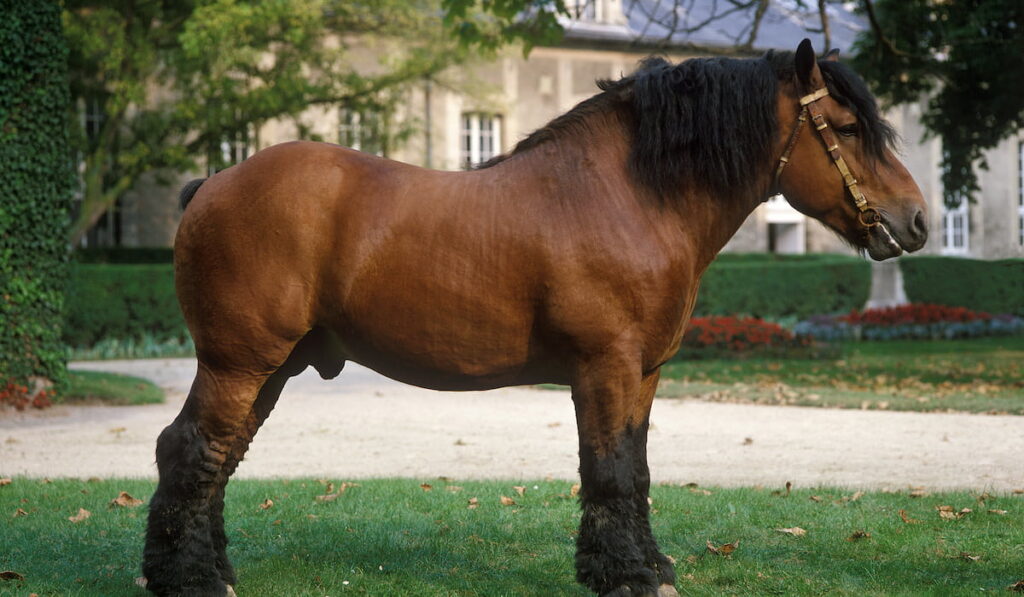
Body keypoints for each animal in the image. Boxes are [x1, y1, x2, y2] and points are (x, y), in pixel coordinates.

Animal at [142, 39, 929, 593]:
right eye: (848, 127)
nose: (916, 220)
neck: (631, 194)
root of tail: (213, 181)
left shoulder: (643, 374)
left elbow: (635, 469)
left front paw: (649, 565)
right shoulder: (606, 367)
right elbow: (609, 471)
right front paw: (628, 577)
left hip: (273, 366)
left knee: (218, 458)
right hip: (238, 362)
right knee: (190, 452)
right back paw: (193, 581)